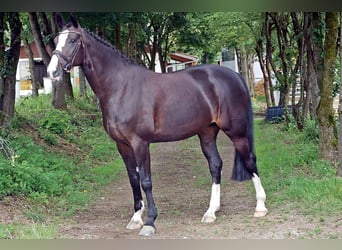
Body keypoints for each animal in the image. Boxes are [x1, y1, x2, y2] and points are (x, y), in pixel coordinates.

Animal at [47, 17, 268, 236]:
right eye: (56, 40)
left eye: (73, 40)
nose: (52, 72)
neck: (121, 87)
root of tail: (234, 76)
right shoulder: (122, 145)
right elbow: (133, 179)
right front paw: (136, 218)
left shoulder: (140, 143)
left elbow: (146, 180)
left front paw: (150, 222)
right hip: (207, 133)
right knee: (215, 165)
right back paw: (211, 212)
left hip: (237, 132)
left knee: (250, 161)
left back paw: (260, 207)